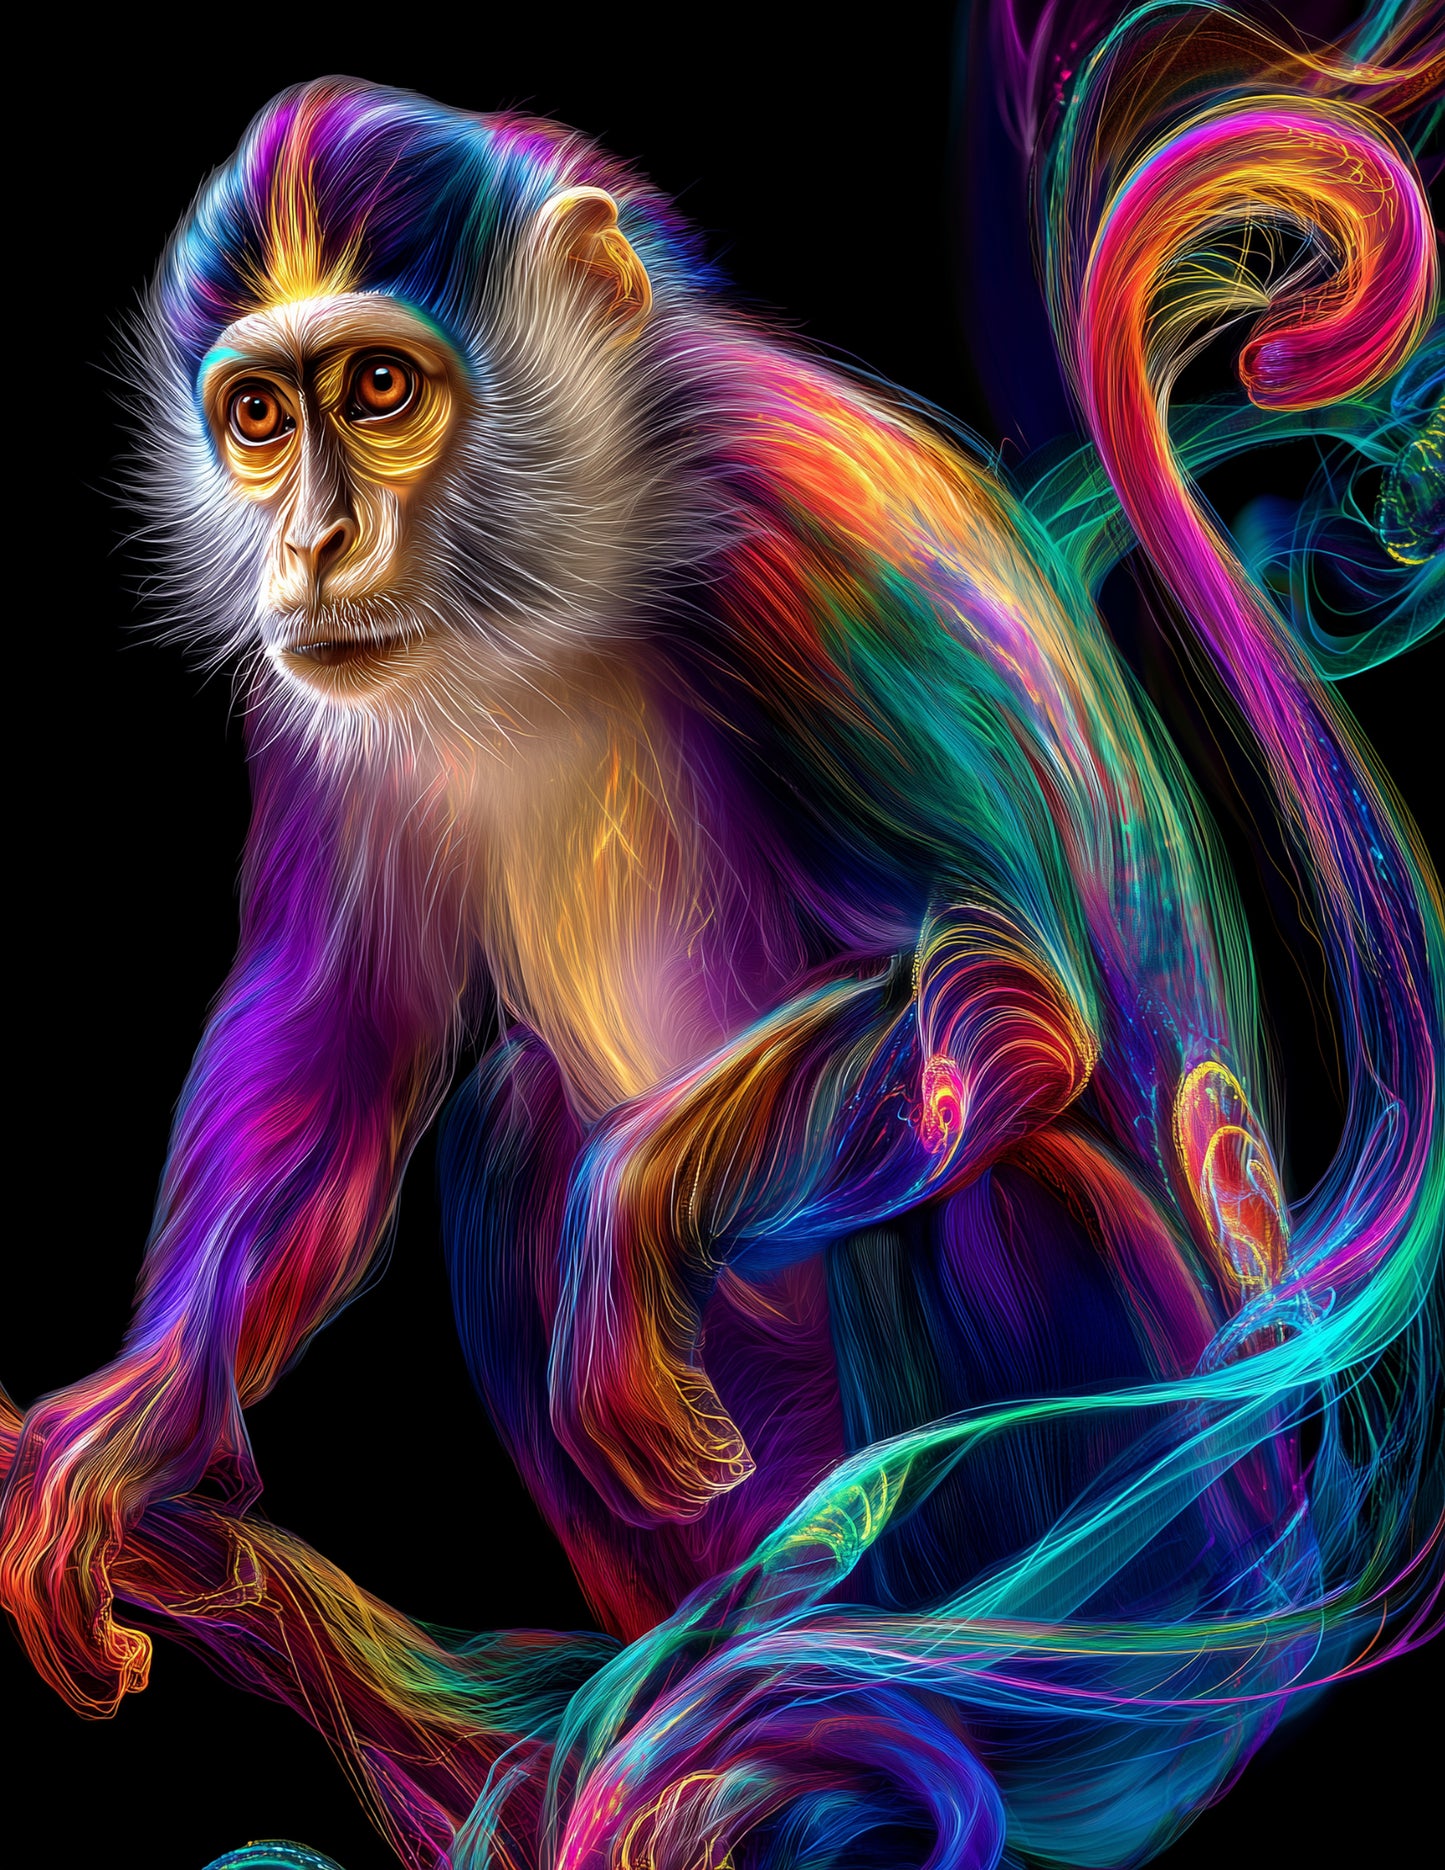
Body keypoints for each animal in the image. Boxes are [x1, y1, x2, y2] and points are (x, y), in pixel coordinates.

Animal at [2, 6, 1441, 1868]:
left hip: (1192, 1533)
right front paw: (142, 1421)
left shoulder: (798, 527)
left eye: (380, 392)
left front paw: (631, 1229)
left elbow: (1014, 985)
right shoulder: (314, 686)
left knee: (981, 1164)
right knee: (506, 1119)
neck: (575, 574)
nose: (311, 541)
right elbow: (339, 1046)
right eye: (257, 416)